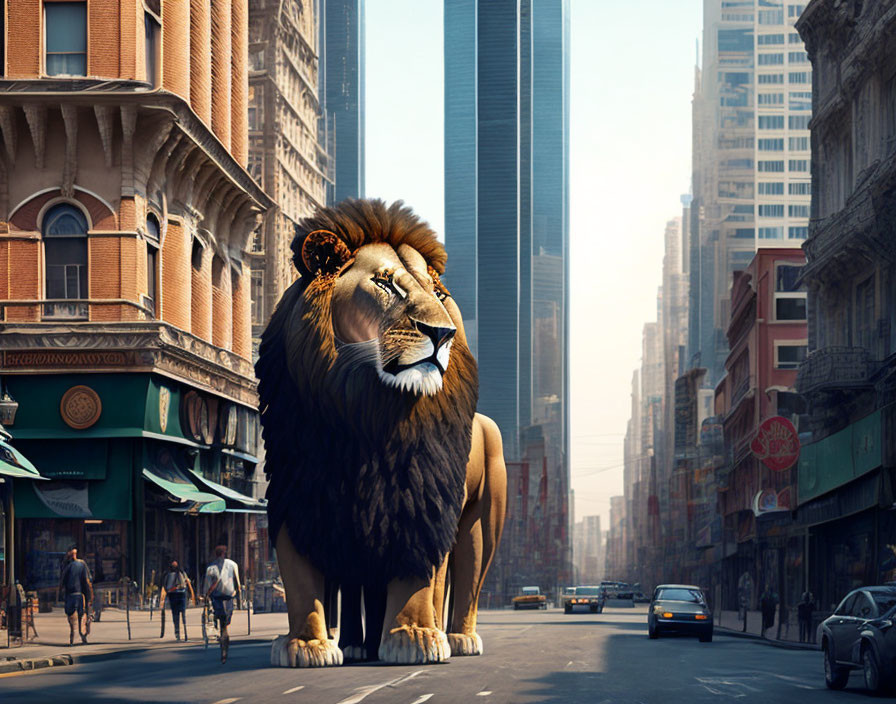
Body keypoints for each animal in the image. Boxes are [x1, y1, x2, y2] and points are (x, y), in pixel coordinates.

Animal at [256, 197, 508, 664]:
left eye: (439, 295)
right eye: (385, 284)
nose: (443, 333)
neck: (366, 414)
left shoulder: (423, 505)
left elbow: (419, 579)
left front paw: (412, 638)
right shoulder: (298, 496)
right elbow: (299, 581)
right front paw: (307, 644)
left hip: (482, 521)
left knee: (468, 578)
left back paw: (456, 638)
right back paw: (357, 644)